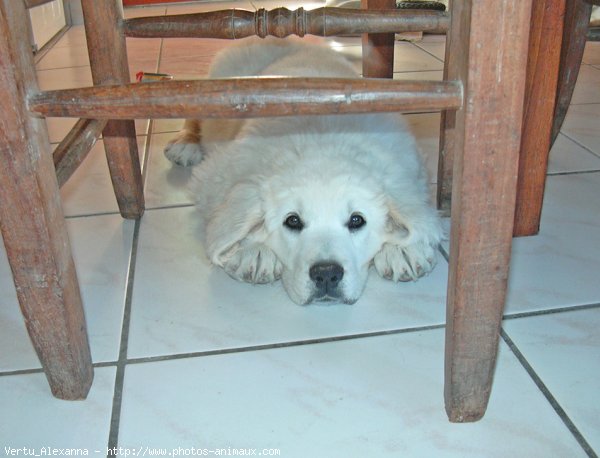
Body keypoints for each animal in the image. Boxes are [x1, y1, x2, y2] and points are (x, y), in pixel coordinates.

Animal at [166, 38, 442, 304]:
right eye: (293, 221)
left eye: (357, 220)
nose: (327, 274)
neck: (322, 141)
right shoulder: (219, 174)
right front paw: (254, 250)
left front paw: (403, 249)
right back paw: (185, 143)